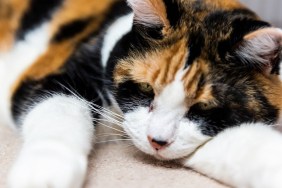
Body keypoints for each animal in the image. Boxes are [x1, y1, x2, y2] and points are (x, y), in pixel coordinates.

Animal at [0, 0, 282, 187]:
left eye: (204, 108)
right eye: (146, 88)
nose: (156, 141)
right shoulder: (55, 74)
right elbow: (60, 111)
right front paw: (44, 172)